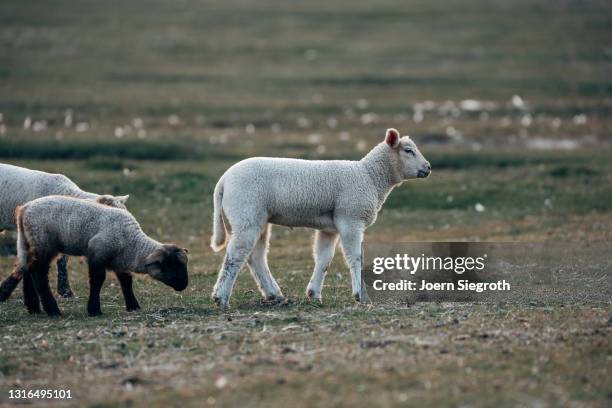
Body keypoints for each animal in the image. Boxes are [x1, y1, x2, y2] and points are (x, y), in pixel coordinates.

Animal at [12, 196, 189, 318]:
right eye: (171, 265)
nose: (184, 285)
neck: (132, 244)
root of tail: (24, 209)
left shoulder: (118, 260)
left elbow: (126, 281)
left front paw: (133, 306)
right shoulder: (97, 254)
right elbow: (97, 281)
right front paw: (94, 310)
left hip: (29, 243)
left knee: (28, 270)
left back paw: (34, 308)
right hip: (44, 243)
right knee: (38, 273)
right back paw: (53, 310)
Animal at [209, 128, 430, 310]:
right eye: (408, 150)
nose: (428, 168)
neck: (370, 177)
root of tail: (223, 181)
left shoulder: (330, 228)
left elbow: (324, 258)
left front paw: (314, 294)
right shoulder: (351, 219)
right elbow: (355, 257)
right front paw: (361, 296)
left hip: (258, 218)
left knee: (256, 256)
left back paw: (274, 294)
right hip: (246, 213)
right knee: (235, 255)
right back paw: (221, 298)